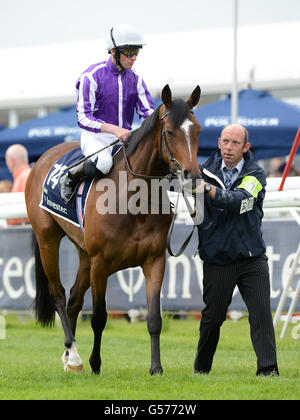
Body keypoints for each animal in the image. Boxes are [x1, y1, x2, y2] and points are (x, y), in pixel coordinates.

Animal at [25, 84, 202, 374]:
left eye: (196, 130)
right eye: (169, 132)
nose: (193, 176)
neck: (135, 200)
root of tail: (41, 160)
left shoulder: (154, 260)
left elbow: (154, 318)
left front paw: (156, 367)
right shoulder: (101, 263)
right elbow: (99, 317)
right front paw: (95, 363)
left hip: (83, 252)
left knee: (74, 299)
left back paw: (69, 356)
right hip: (48, 239)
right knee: (59, 295)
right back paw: (74, 355)